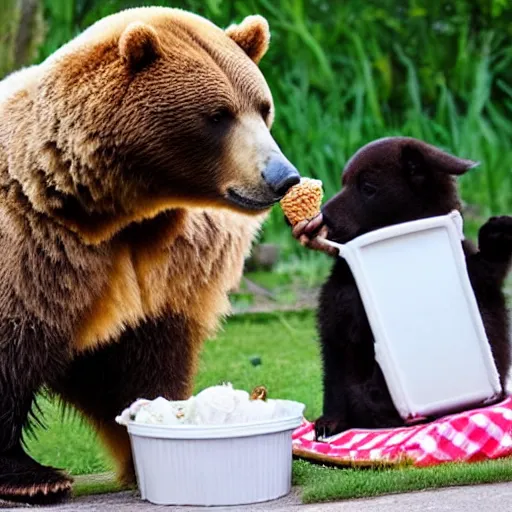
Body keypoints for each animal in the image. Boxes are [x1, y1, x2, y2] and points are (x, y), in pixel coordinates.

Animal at [0, 7, 300, 504]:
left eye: (263, 107)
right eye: (218, 115)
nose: (283, 177)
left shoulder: (165, 268)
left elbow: (144, 355)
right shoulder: (33, 250)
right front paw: (35, 478)